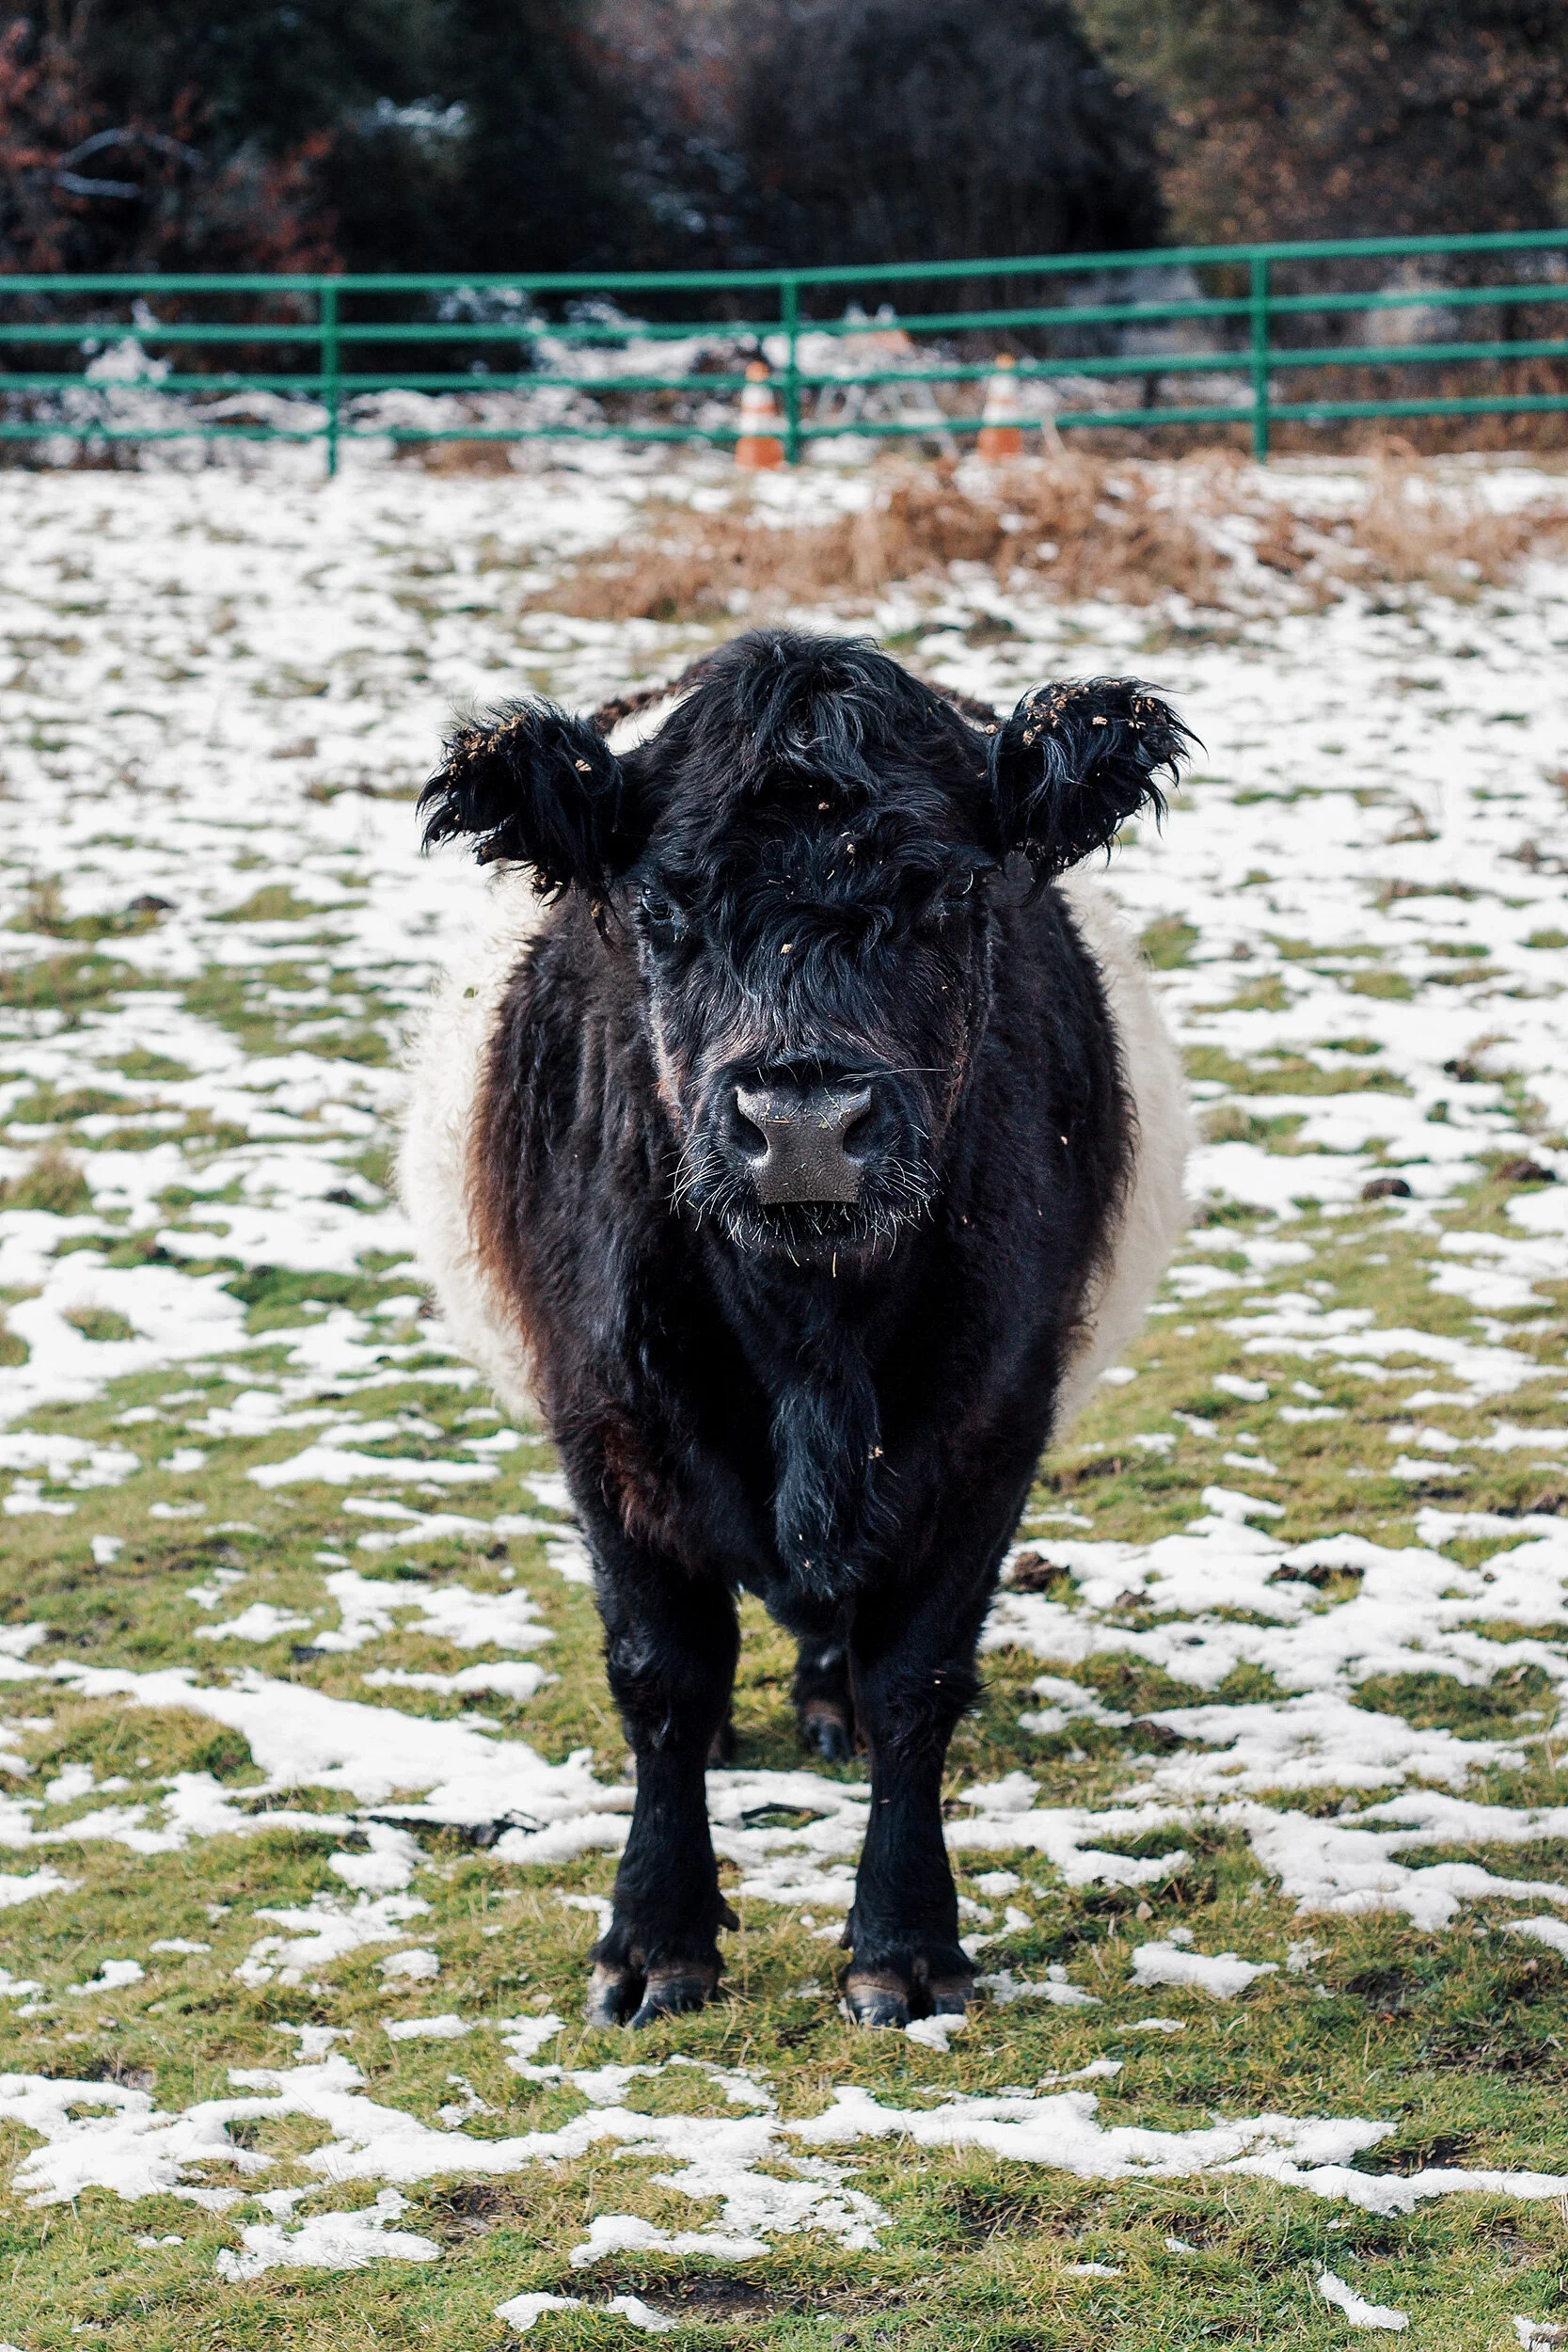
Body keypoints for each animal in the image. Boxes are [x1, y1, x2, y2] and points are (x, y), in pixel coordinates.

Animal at [401, 629, 1191, 2031]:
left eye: (949, 899)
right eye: (658, 912)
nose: (805, 1124)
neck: (809, 1327)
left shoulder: (995, 1420)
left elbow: (917, 1676)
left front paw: (903, 1944)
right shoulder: (601, 1415)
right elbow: (660, 1673)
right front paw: (654, 1940)